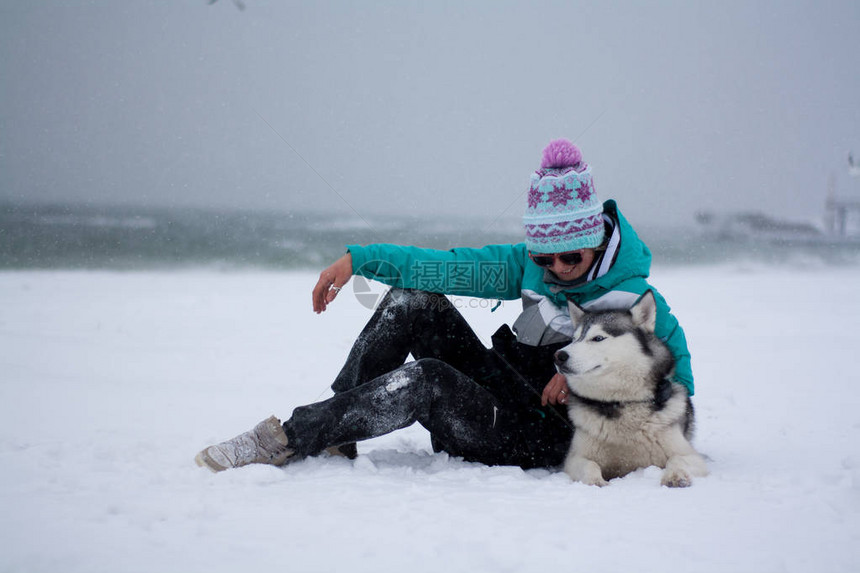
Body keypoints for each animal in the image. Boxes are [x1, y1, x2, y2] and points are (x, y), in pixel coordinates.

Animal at [556, 290, 708, 488]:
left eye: (598, 338)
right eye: (574, 340)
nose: (559, 355)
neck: (622, 401)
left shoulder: (691, 456)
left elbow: (677, 459)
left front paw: (676, 476)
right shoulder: (575, 458)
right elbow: (589, 465)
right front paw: (596, 481)